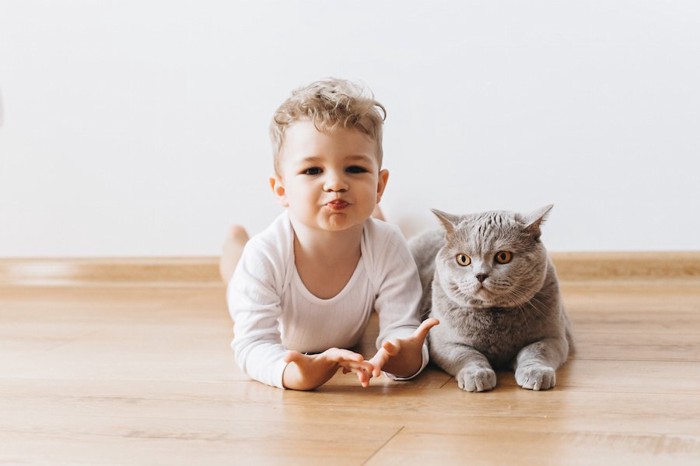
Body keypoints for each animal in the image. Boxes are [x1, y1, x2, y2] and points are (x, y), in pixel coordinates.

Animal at [410, 206, 576, 392]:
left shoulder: (554, 337)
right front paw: (477, 375)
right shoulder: (443, 343)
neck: (494, 315)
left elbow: (537, 350)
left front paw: (536, 373)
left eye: (503, 256)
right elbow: (467, 354)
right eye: (463, 259)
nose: (480, 275)